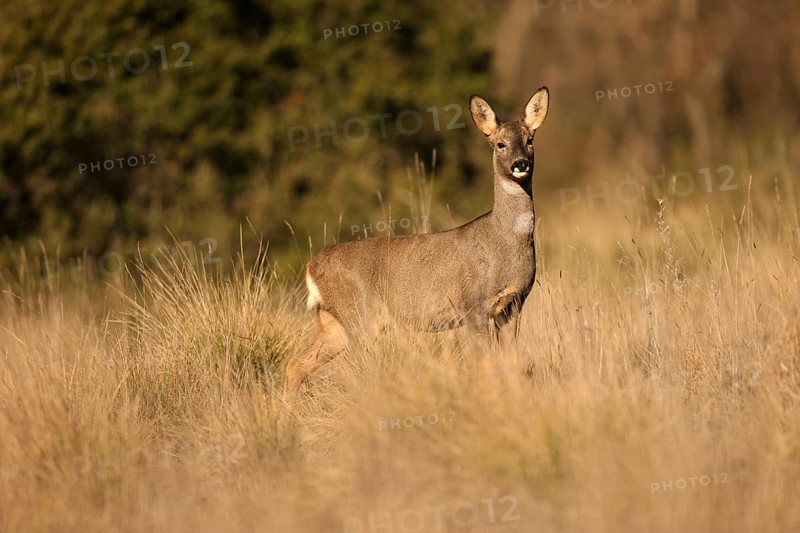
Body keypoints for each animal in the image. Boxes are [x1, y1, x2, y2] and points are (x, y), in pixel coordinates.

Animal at [283, 87, 550, 400]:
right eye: (500, 144)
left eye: (530, 140)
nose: (521, 164)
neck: (502, 241)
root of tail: (311, 266)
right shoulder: (473, 305)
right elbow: (486, 368)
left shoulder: (513, 306)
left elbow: (510, 364)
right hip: (360, 317)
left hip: (333, 323)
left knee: (296, 363)